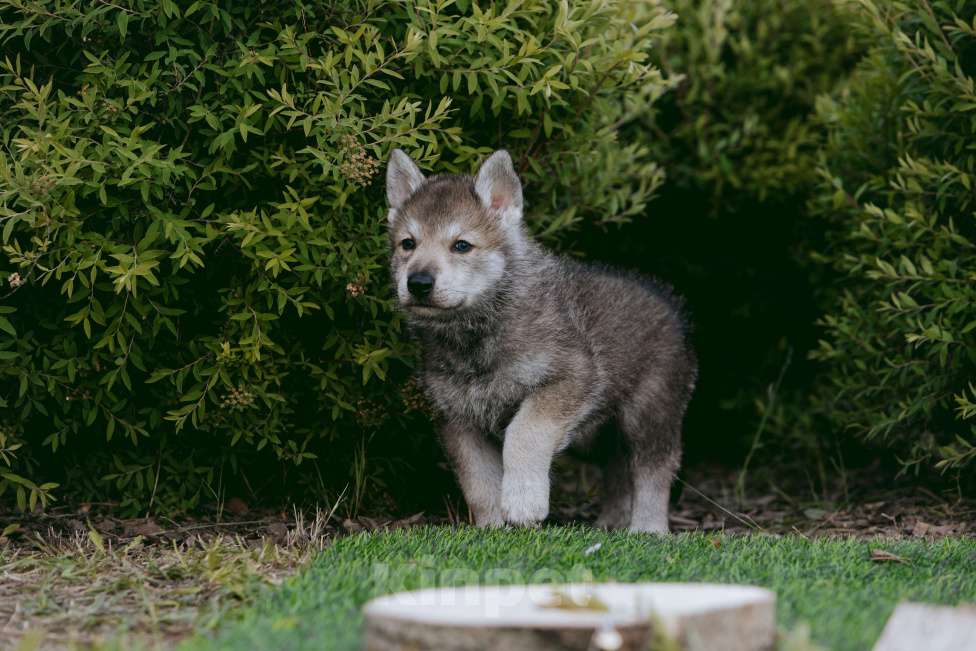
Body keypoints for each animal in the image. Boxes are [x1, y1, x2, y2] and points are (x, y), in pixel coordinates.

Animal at [386, 150, 696, 532]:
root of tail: (671, 304)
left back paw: (647, 530)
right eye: (408, 244)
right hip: (603, 432)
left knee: (654, 471)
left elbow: (523, 435)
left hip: (650, 415)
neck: (479, 333)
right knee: (617, 473)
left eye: (461, 245)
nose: (418, 283)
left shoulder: (569, 379)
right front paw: (491, 527)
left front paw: (523, 504)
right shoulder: (458, 419)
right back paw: (609, 525)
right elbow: (477, 481)